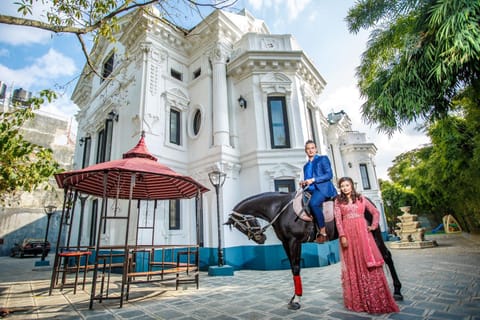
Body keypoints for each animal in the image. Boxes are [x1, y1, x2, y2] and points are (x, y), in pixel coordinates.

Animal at [225, 190, 402, 310]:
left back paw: (397, 292)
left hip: (374, 231)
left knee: (386, 255)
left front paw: (297, 300)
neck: (280, 208)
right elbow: (292, 267)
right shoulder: (286, 243)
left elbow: (296, 267)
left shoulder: (294, 241)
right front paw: (294, 298)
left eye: (240, 225)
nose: (261, 239)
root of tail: (368, 201)